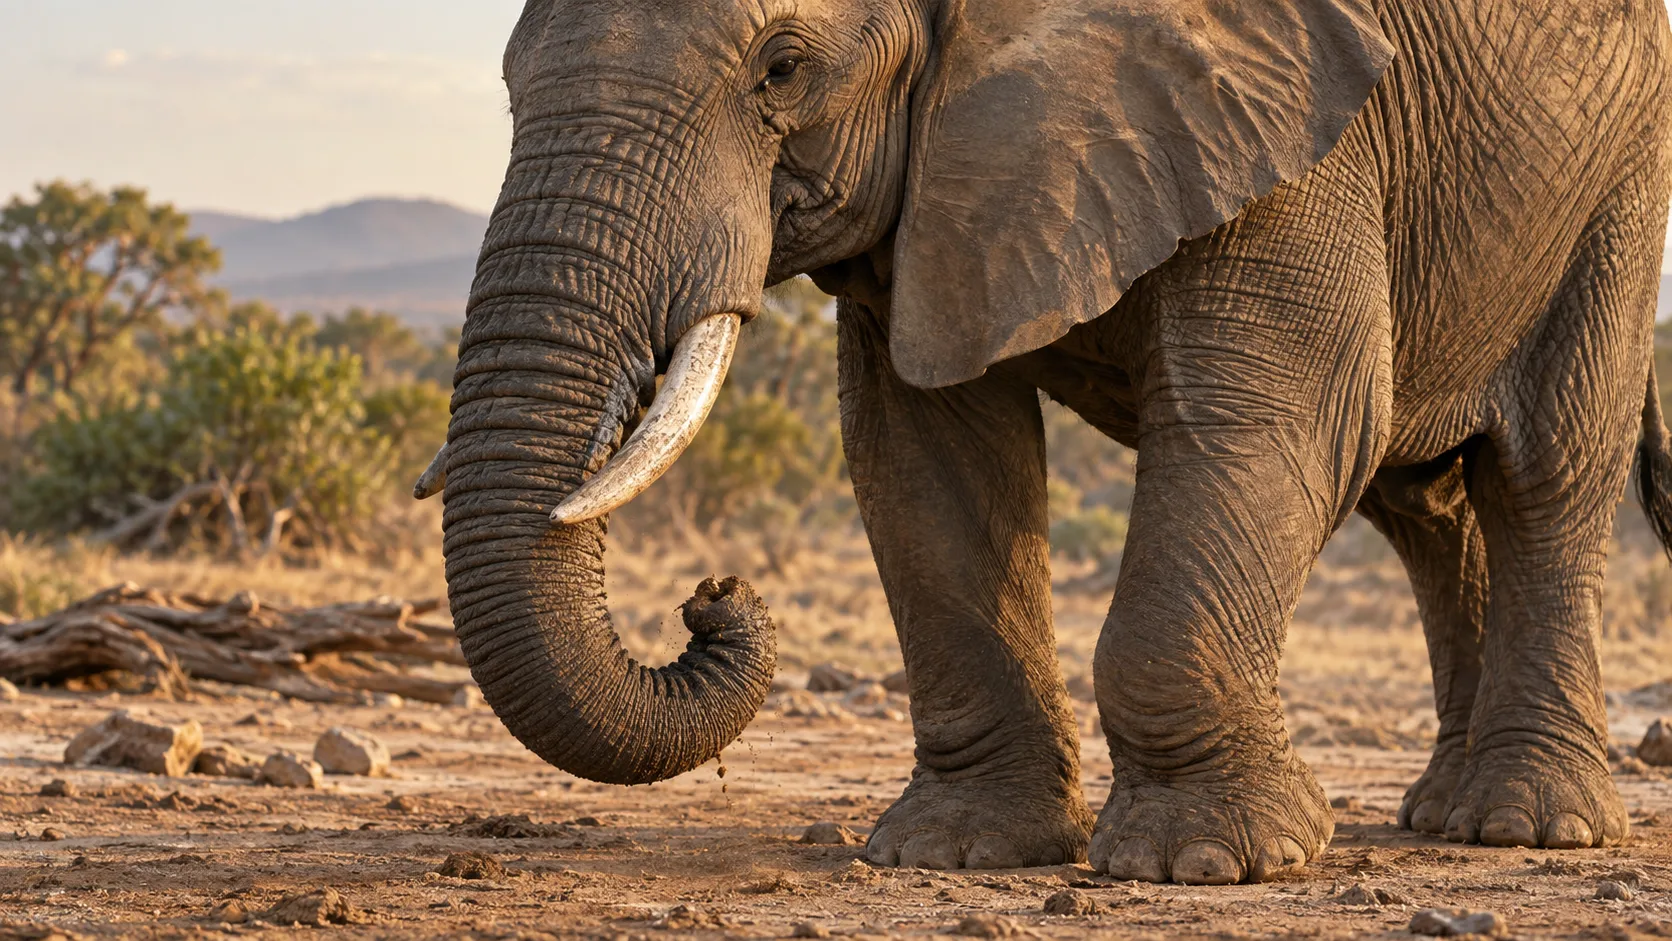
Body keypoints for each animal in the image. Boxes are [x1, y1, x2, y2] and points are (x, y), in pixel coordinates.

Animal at [423, 0, 1672, 884]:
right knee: (1425, 506)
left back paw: (1525, 828)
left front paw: (1208, 862)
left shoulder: (1289, 117)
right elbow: (923, 456)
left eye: (779, 70)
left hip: (1617, 174)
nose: (711, 595)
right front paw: (957, 853)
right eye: (508, 84)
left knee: (1546, 471)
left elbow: (1289, 412)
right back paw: (1442, 814)